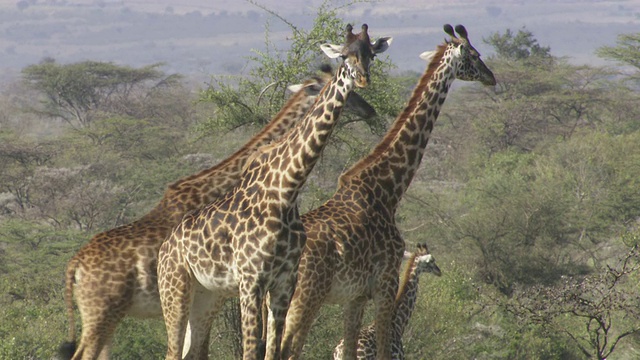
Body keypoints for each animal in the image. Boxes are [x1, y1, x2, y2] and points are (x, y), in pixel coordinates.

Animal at [59, 64, 376, 360]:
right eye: (334, 85)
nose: (369, 110)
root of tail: (75, 264)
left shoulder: (217, 294)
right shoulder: (222, 292)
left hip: (109, 315)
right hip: (103, 311)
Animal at [158, 23, 392, 360]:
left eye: (370, 54)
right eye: (344, 55)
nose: (362, 81)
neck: (287, 189)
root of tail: (164, 248)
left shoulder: (284, 282)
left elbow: (272, 351)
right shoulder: (251, 281)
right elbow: (251, 351)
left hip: (206, 294)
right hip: (175, 289)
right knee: (172, 351)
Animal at [278, 23, 496, 360]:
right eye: (474, 55)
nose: (491, 77)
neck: (387, 188)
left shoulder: (356, 295)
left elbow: (350, 348)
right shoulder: (385, 283)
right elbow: (381, 347)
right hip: (306, 296)